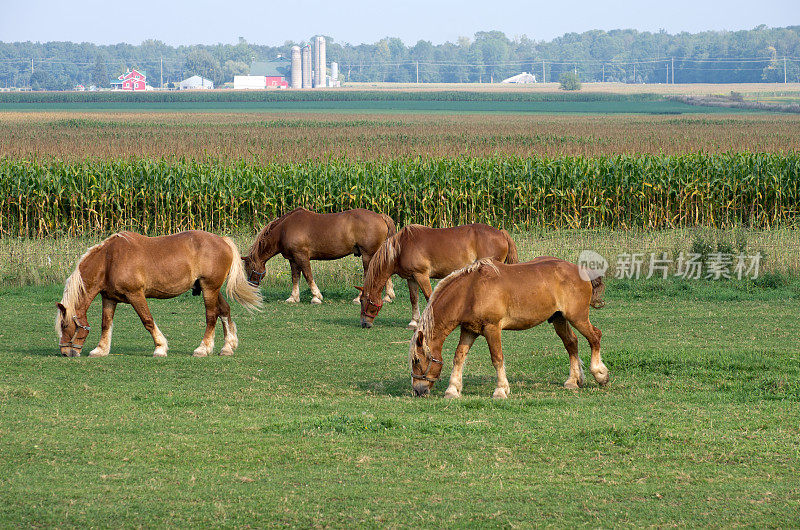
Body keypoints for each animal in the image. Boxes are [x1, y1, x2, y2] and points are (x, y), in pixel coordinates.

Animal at [56, 230, 262, 356]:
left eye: (65, 326)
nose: (65, 353)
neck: (108, 260)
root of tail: (223, 241)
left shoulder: (135, 295)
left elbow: (147, 320)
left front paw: (160, 347)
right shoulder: (109, 298)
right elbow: (106, 324)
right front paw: (101, 349)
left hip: (210, 288)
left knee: (211, 316)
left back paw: (203, 348)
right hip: (210, 288)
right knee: (224, 311)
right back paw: (228, 346)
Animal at [242, 208, 396, 304]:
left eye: (249, 268)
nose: (251, 287)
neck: (284, 230)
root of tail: (380, 216)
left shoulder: (302, 256)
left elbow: (308, 276)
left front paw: (316, 297)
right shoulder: (293, 260)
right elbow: (295, 278)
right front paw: (293, 297)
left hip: (368, 255)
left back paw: (359, 298)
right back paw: (388, 296)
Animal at [358, 222, 520, 326]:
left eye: (363, 301)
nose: (365, 324)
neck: (401, 247)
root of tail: (501, 233)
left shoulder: (422, 275)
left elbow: (429, 297)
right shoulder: (411, 278)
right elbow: (414, 298)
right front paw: (414, 322)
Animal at [410, 256, 608, 396]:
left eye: (417, 360)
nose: (418, 390)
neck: (470, 291)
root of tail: (581, 270)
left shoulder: (492, 328)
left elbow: (497, 358)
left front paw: (501, 390)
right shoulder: (469, 330)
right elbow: (459, 357)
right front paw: (452, 389)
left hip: (578, 318)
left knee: (595, 337)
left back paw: (600, 374)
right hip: (559, 319)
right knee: (571, 343)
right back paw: (573, 381)